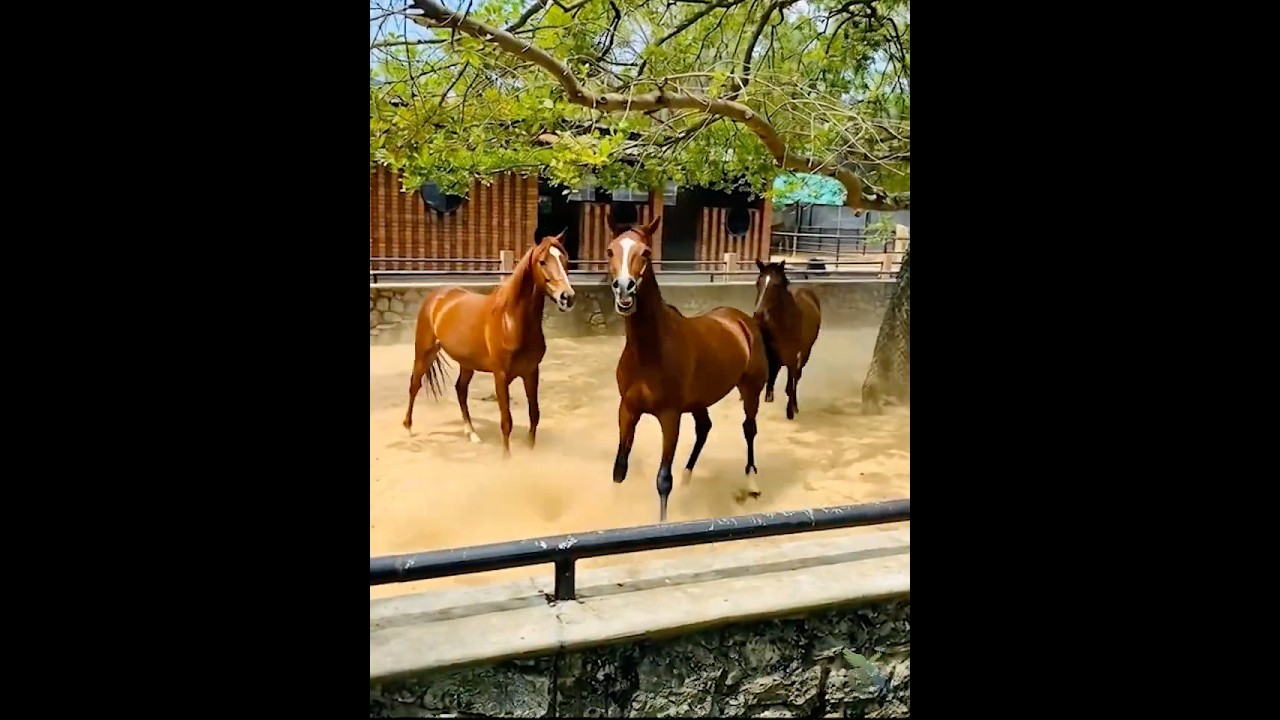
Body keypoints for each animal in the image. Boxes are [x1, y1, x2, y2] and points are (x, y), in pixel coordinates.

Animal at [401, 232, 577, 457]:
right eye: (542, 261)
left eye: (565, 260)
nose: (567, 297)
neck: (510, 321)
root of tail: (436, 296)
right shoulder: (500, 376)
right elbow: (506, 420)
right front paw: (506, 457)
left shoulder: (531, 372)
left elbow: (534, 414)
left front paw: (530, 450)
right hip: (424, 352)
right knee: (414, 385)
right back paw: (408, 428)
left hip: (466, 363)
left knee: (460, 390)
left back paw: (472, 434)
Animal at [606, 215, 769, 522]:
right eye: (610, 250)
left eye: (646, 252)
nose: (624, 289)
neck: (649, 352)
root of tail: (741, 320)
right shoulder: (628, 410)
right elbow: (620, 468)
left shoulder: (670, 416)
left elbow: (662, 479)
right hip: (698, 401)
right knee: (705, 428)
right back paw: (687, 477)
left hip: (751, 389)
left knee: (749, 428)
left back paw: (752, 482)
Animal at [753, 259, 822, 420]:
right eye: (758, 282)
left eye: (776, 285)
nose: (758, 314)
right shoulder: (770, 354)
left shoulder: (792, 356)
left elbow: (792, 382)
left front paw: (790, 410)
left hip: (806, 351)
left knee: (797, 376)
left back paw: (794, 406)